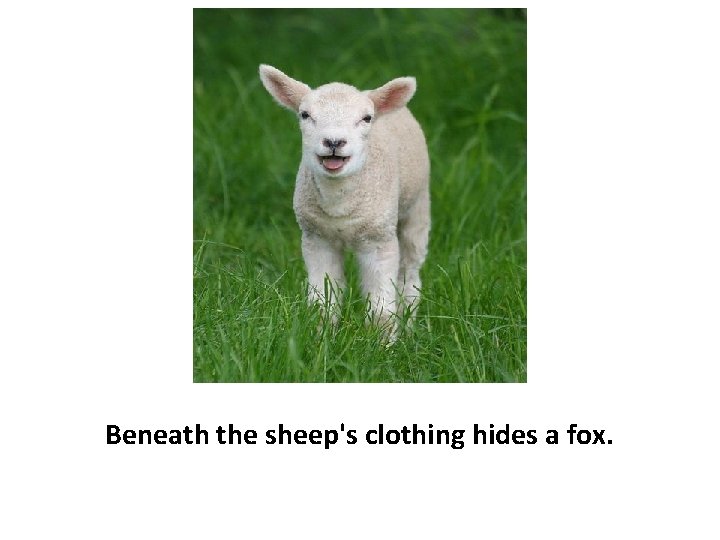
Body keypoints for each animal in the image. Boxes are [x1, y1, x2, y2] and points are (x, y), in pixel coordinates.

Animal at [258, 64, 430, 337]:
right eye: (305, 115)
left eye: (367, 118)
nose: (334, 142)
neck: (338, 205)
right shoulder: (317, 239)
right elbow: (323, 302)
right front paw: (320, 337)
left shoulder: (379, 241)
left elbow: (381, 309)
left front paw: (382, 344)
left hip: (417, 207)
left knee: (410, 274)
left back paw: (410, 326)